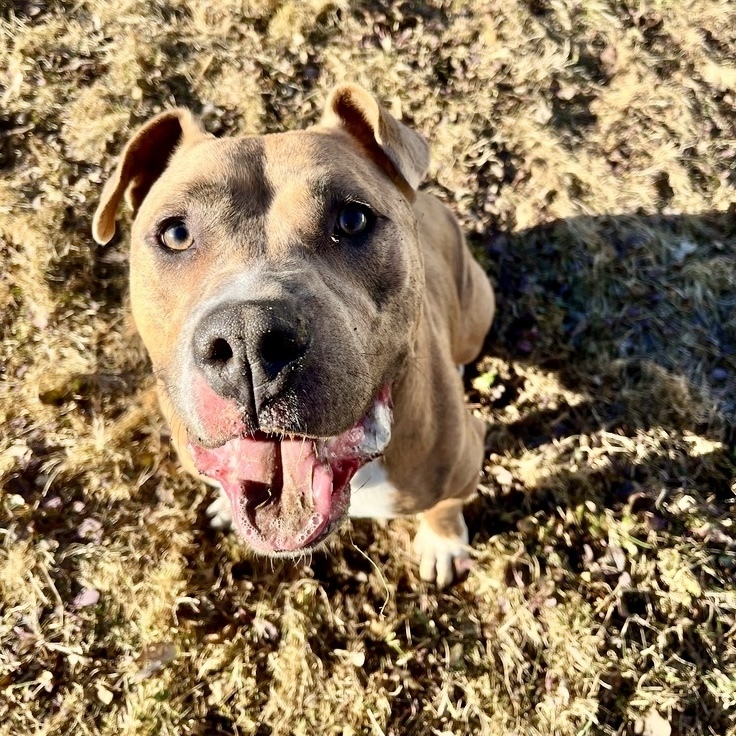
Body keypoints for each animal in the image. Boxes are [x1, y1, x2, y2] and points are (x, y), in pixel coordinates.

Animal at [92, 83, 494, 588]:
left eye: (353, 220)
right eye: (176, 233)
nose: (248, 339)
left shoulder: (464, 463)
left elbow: (445, 506)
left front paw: (443, 542)